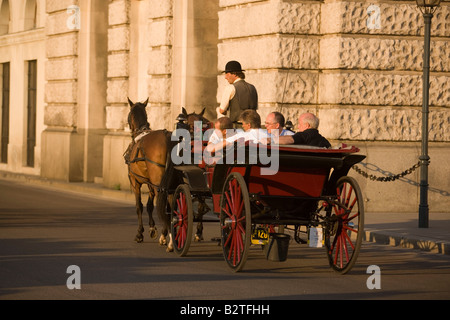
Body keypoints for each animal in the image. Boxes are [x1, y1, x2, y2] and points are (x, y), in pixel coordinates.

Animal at [125, 97, 174, 250]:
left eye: (128, 115)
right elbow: (150, 205)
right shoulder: (150, 182)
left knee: (164, 204)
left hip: (158, 182)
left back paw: (167, 237)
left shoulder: (135, 182)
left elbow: (139, 206)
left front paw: (140, 233)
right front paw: (152, 228)